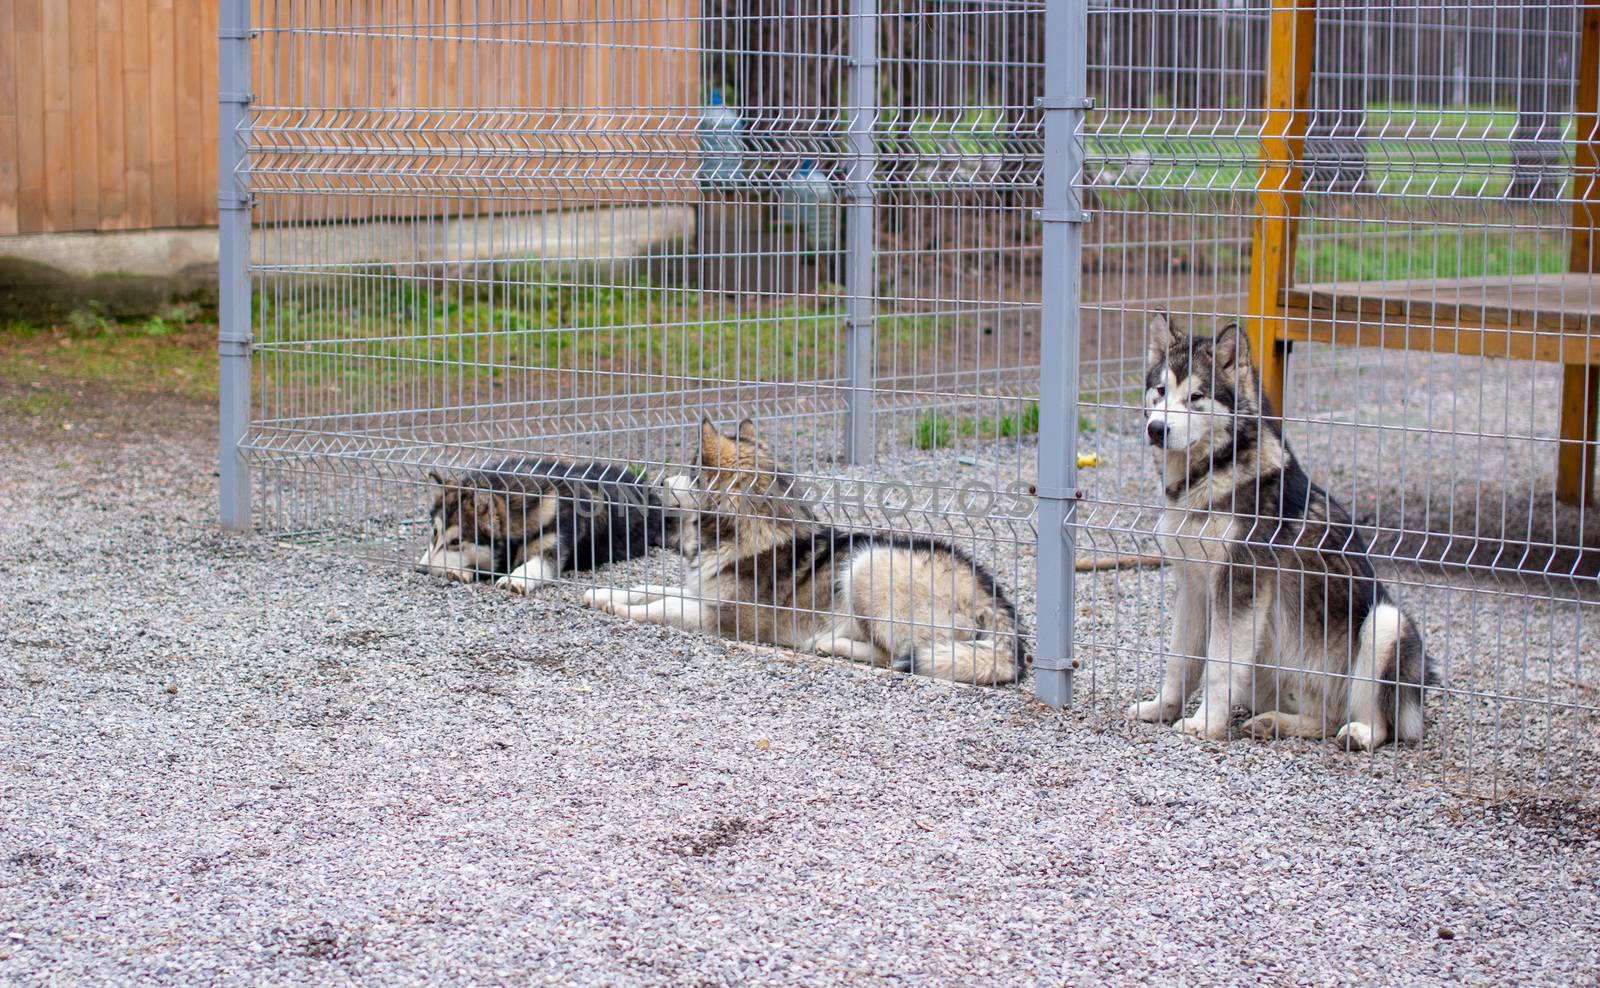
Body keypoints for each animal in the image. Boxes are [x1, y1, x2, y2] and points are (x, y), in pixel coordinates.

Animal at [582, 418, 1030, 684]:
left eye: (691, 473)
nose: (657, 484)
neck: (744, 529)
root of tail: (994, 599)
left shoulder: (722, 618)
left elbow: (662, 607)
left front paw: (620, 608)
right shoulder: (698, 591)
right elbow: (648, 589)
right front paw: (603, 594)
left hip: (867, 563)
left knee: (898, 656)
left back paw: (832, 644)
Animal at [1132, 314, 1433, 744]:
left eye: (1196, 397)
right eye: (1160, 391)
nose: (1157, 429)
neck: (1207, 476)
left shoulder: (1239, 588)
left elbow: (1218, 668)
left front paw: (1206, 724)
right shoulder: (1193, 587)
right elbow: (1179, 662)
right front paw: (1162, 708)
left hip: (1386, 622)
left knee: (1380, 724)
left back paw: (1359, 734)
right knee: (1323, 721)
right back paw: (1276, 722)